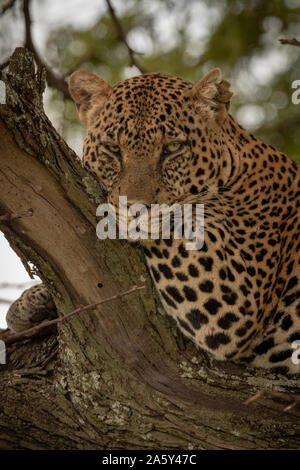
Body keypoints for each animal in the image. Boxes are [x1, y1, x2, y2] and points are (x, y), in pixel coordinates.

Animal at [6, 68, 300, 374]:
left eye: (172, 147)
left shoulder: (237, 291)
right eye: (113, 148)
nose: (135, 208)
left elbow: (173, 219)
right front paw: (30, 303)